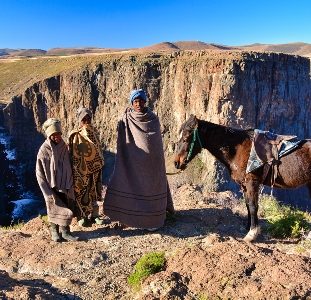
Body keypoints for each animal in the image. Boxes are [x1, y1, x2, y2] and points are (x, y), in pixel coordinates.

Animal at [174, 115, 311, 241]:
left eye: (186, 138)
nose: (176, 163)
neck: (237, 149)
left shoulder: (251, 182)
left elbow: (253, 206)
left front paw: (252, 234)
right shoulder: (244, 184)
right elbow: (247, 205)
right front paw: (248, 227)